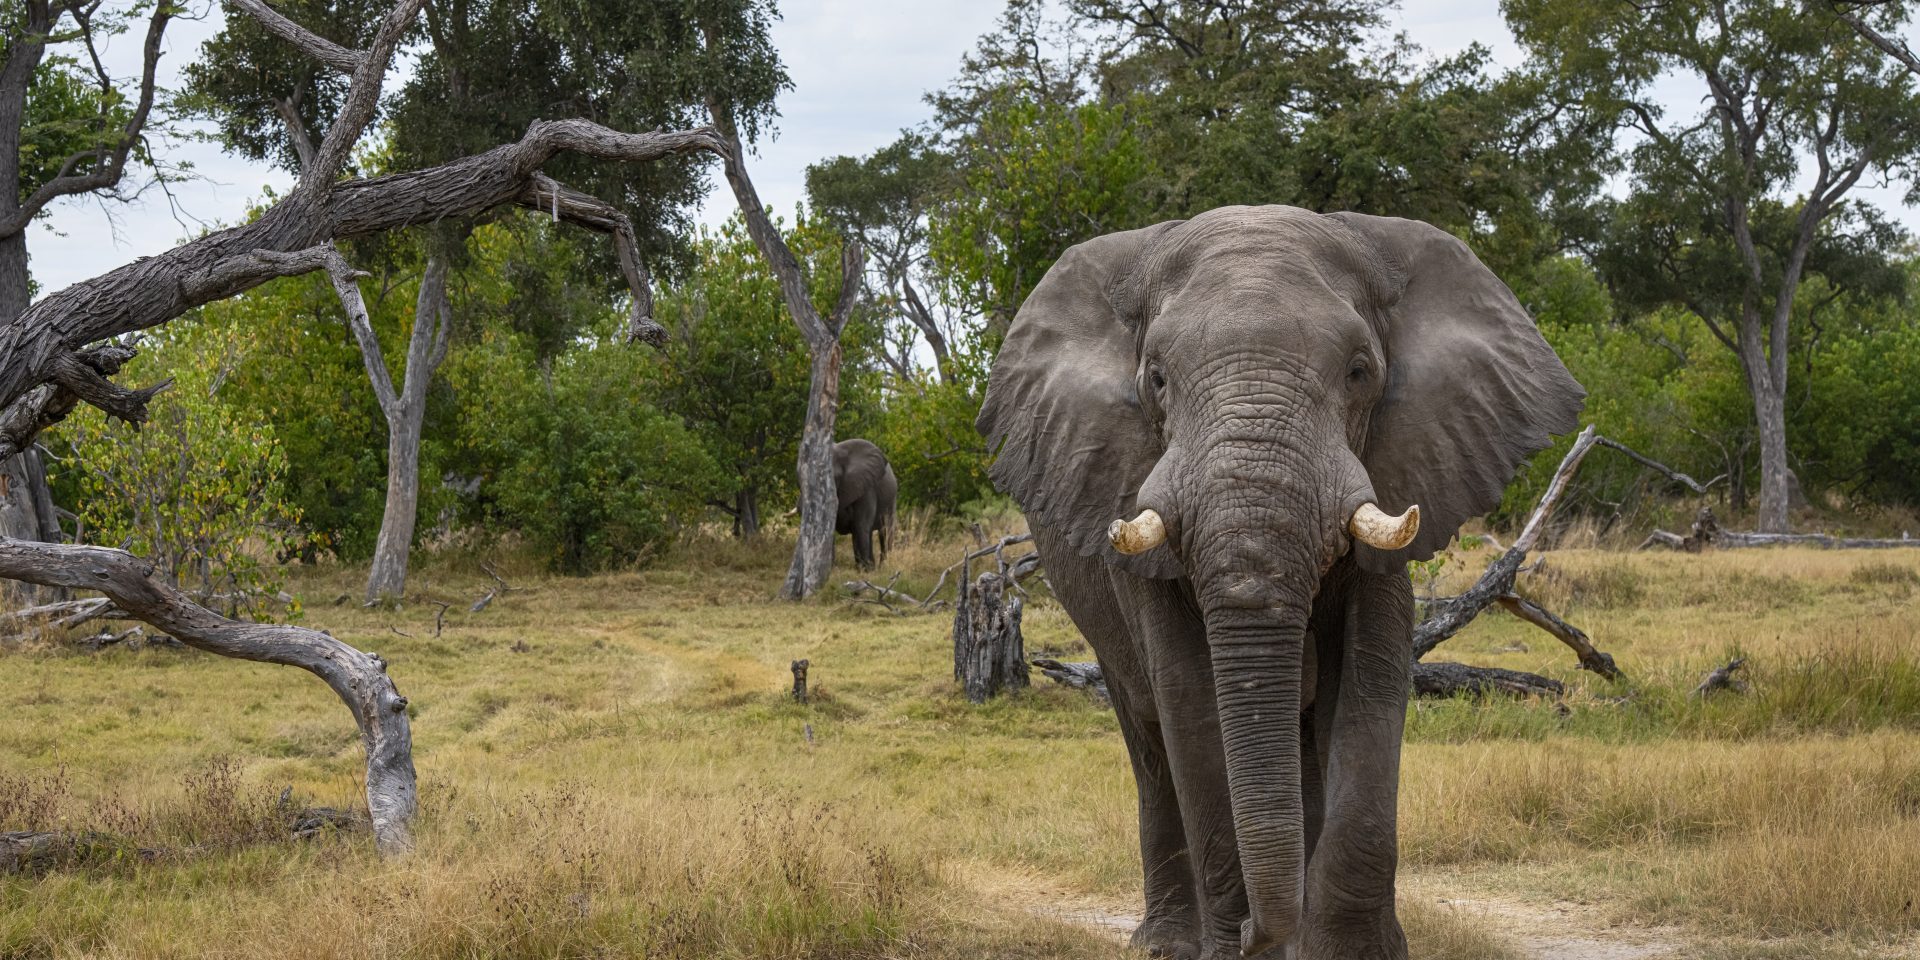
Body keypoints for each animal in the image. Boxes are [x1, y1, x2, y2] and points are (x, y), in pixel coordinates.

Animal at [833, 438, 897, 570]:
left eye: (835, 477)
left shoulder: (866, 487)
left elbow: (861, 526)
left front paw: (868, 570)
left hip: (892, 500)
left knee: (885, 532)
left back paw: (883, 566)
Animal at [977, 206, 1582, 959]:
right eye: (1157, 380)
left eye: (1359, 371)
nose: (1251, 937)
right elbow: (1189, 700)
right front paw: (1234, 948)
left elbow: (1371, 681)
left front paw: (1349, 952)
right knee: (1147, 737)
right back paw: (1166, 942)